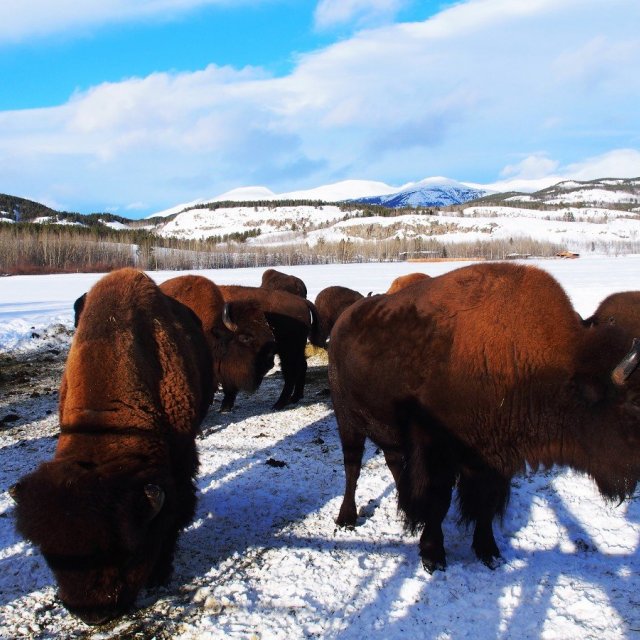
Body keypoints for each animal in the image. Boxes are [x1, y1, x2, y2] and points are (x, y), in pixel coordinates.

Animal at [330, 262, 640, 572]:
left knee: (393, 463)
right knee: (352, 468)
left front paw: (489, 551)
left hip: (388, 430)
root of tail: (344, 320)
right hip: (348, 421)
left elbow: (486, 504)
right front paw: (433, 555)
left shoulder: (496, 457)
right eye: (633, 405)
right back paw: (346, 518)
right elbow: (439, 500)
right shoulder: (439, 451)